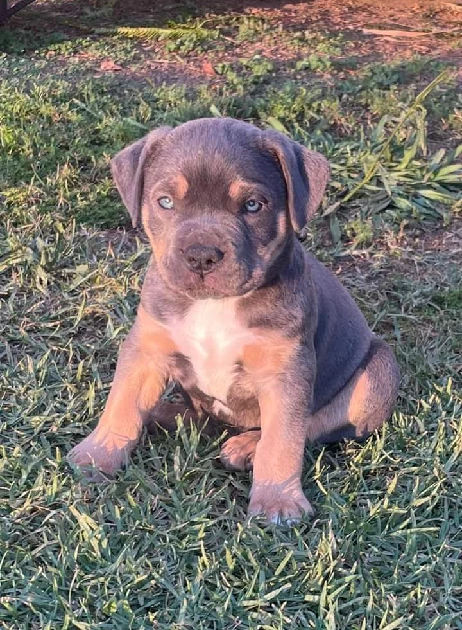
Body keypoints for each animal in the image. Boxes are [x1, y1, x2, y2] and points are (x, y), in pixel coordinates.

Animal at [68, 118, 400, 524]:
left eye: (253, 205)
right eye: (165, 202)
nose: (200, 255)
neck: (216, 305)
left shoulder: (286, 371)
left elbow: (283, 436)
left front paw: (277, 500)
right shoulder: (146, 348)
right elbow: (123, 402)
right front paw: (98, 454)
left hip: (378, 372)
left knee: (315, 423)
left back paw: (245, 446)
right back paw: (164, 414)